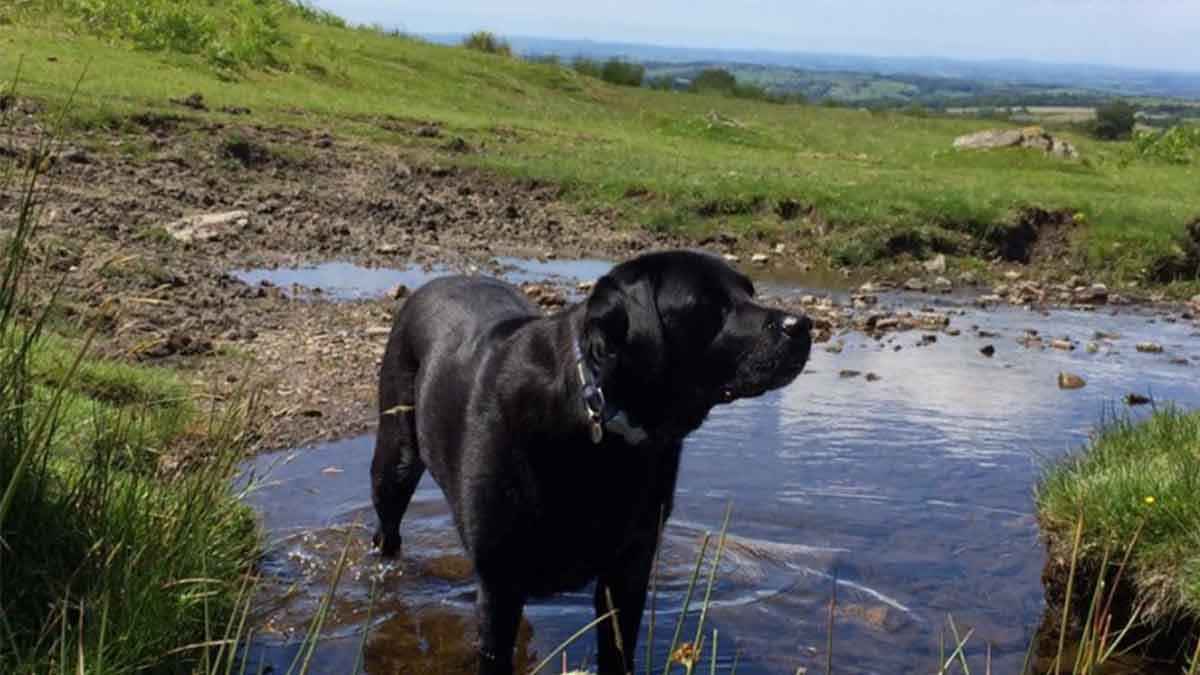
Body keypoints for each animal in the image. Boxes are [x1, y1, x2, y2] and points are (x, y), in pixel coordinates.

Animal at [371, 250, 812, 675]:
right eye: (708, 304)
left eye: (750, 291)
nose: (803, 324)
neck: (600, 422)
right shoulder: (500, 580)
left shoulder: (629, 570)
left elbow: (617, 651)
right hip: (395, 459)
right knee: (388, 529)